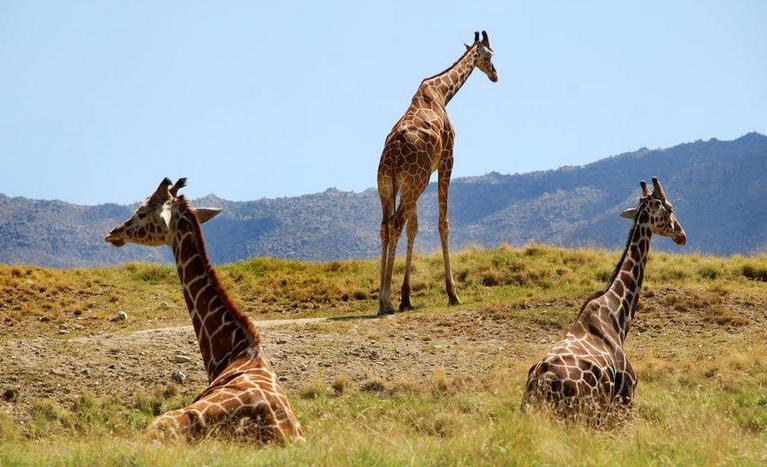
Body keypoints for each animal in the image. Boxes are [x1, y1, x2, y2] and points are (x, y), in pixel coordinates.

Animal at [376, 31, 498, 316]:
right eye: (489, 54)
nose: (495, 75)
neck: (441, 93)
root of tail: (393, 154)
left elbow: (415, 228)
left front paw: (406, 297)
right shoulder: (447, 159)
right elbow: (443, 223)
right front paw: (453, 294)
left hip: (389, 185)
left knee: (386, 225)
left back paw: (382, 301)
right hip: (414, 182)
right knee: (396, 223)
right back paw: (386, 301)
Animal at [520, 177, 688, 426]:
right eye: (670, 208)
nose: (682, 235)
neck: (618, 318)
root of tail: (540, 385)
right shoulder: (625, 400)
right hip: (581, 417)